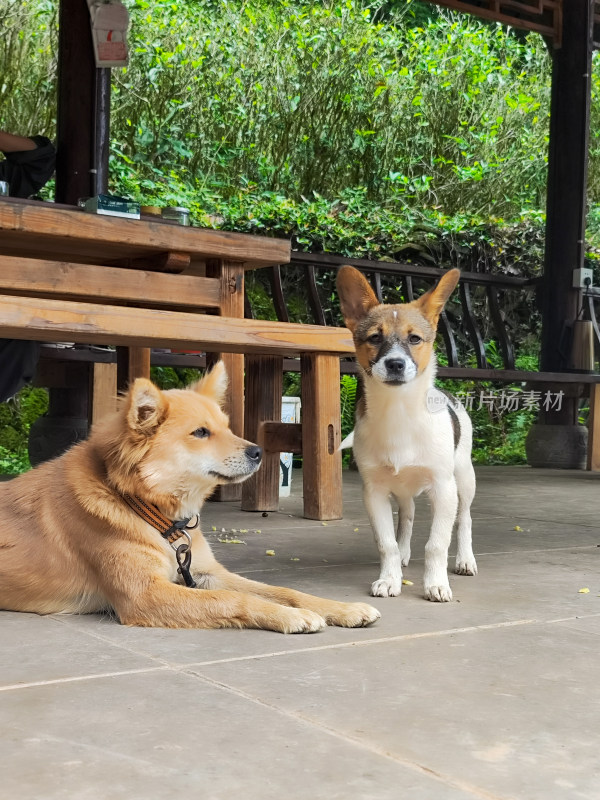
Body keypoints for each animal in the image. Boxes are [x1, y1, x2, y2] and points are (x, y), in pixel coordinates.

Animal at [0, 362, 380, 632]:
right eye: (200, 432)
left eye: (227, 427)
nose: (259, 451)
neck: (148, 508)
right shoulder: (144, 595)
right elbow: (233, 598)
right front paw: (289, 616)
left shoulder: (205, 572)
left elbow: (284, 591)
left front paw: (340, 608)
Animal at [336, 266, 476, 604]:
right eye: (375, 337)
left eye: (415, 339)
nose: (396, 364)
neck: (398, 412)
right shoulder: (374, 493)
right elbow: (386, 542)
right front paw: (389, 579)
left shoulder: (444, 489)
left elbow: (437, 544)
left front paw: (436, 584)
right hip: (400, 490)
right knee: (408, 515)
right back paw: (403, 553)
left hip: (464, 479)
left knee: (464, 518)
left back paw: (465, 559)